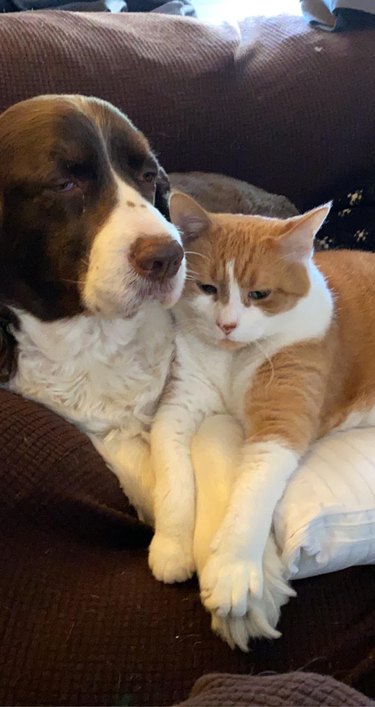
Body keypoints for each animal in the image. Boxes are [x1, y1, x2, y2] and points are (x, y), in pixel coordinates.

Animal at [148, 194, 375, 648]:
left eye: (260, 294)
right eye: (208, 288)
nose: (227, 324)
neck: (233, 357)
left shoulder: (281, 420)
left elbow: (252, 492)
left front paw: (233, 570)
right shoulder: (178, 407)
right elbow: (172, 475)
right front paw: (171, 545)